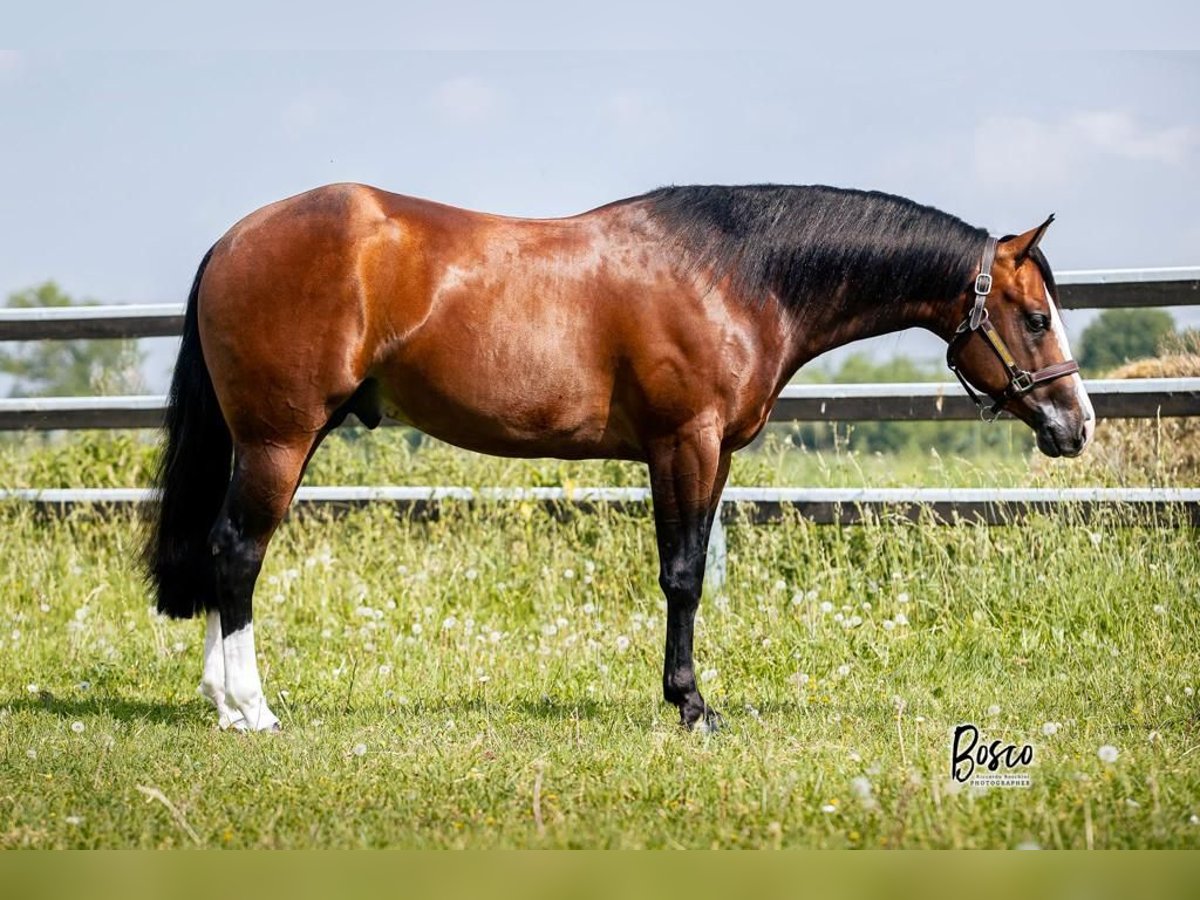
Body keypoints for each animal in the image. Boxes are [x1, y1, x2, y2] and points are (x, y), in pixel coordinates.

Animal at [142, 183, 1099, 734]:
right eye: (1036, 316)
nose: (1076, 425)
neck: (737, 273)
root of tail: (234, 241)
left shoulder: (710, 455)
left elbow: (692, 568)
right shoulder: (683, 443)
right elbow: (682, 576)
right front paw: (692, 707)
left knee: (227, 556)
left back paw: (221, 702)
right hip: (278, 438)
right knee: (238, 554)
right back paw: (251, 709)